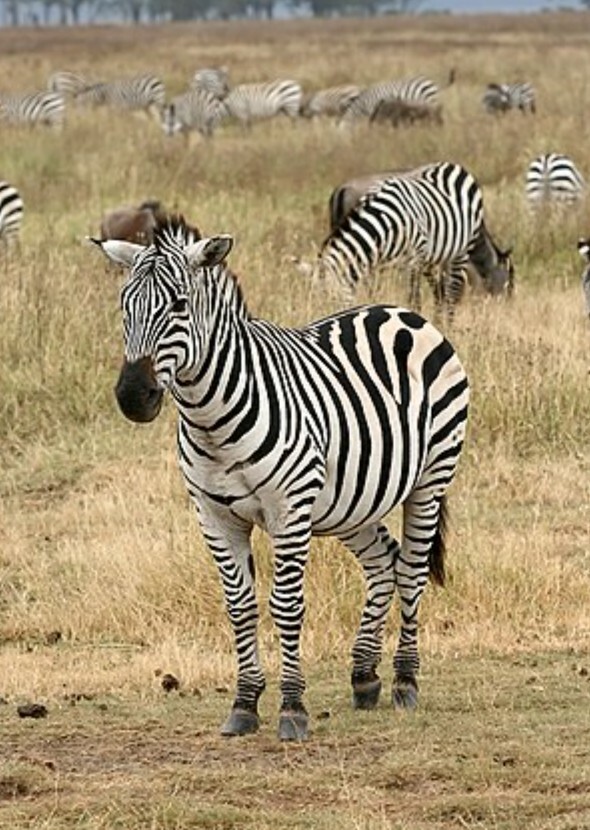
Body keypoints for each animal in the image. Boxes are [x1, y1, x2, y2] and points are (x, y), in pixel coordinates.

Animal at [92, 216, 469, 741]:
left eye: (180, 306)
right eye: (124, 309)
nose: (132, 397)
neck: (212, 421)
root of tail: (401, 312)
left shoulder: (288, 509)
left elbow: (287, 606)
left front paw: (292, 708)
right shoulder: (213, 516)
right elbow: (240, 607)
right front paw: (245, 703)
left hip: (430, 478)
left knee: (411, 570)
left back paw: (405, 681)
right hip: (352, 500)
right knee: (383, 562)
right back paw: (364, 676)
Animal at [296, 161, 485, 325]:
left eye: (330, 301)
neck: (385, 223)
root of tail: (451, 165)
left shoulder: (413, 260)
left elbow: (414, 299)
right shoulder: (374, 263)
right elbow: (374, 294)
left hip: (461, 250)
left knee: (452, 292)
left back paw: (448, 326)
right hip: (432, 259)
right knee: (439, 291)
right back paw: (438, 322)